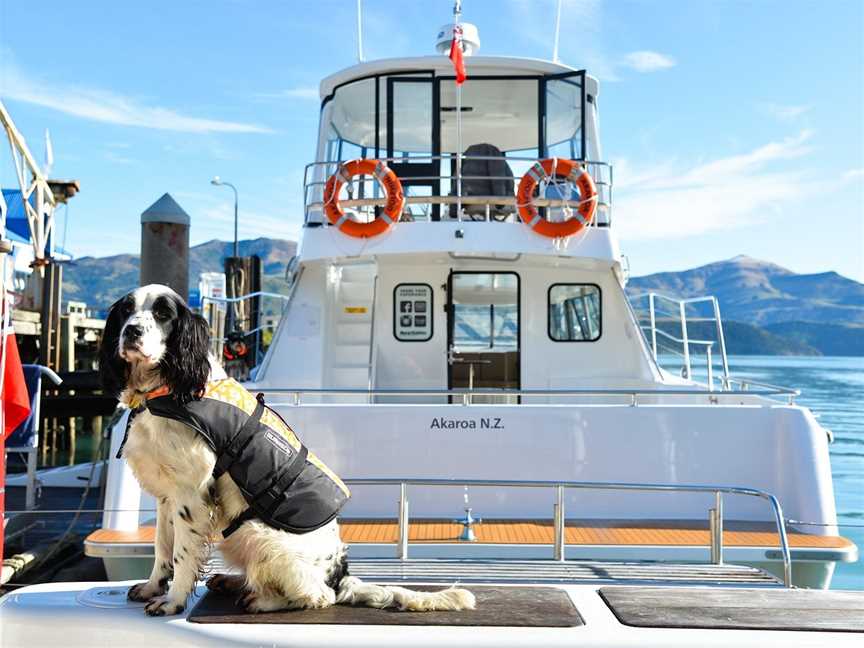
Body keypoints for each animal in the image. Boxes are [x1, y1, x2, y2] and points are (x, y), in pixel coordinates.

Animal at [103, 286, 480, 616]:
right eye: (126, 310)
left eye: (163, 314)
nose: (131, 331)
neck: (163, 390)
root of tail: (340, 575)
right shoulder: (167, 495)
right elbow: (162, 547)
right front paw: (152, 587)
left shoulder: (191, 494)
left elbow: (182, 553)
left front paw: (172, 602)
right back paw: (233, 581)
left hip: (259, 534)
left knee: (318, 596)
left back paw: (261, 599)